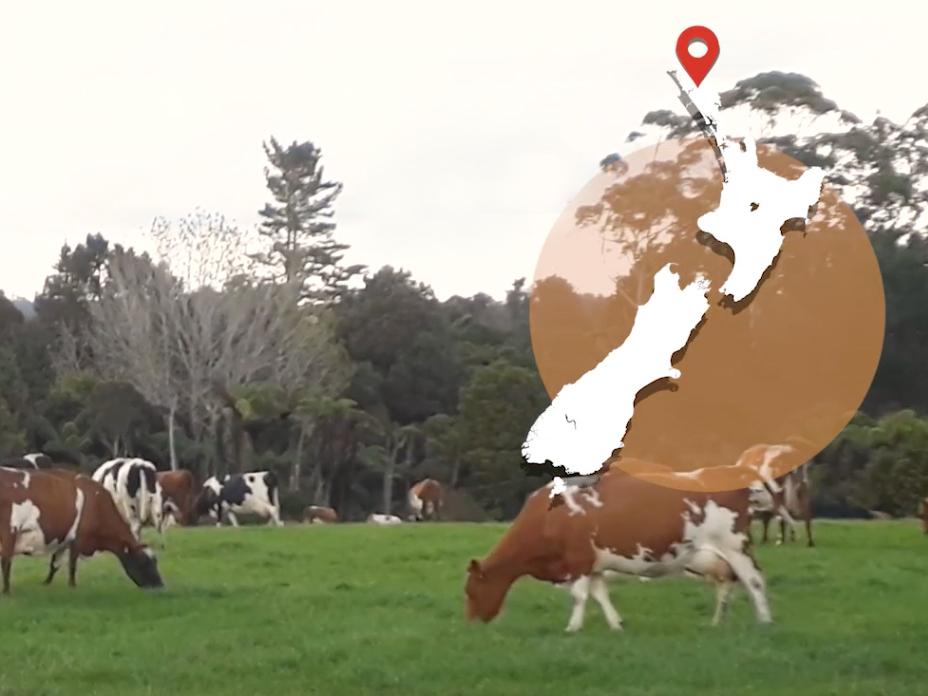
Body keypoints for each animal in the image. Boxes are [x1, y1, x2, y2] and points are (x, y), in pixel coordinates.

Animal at [0, 468, 163, 592]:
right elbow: (72, 565)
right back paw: (6, 591)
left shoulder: (64, 541)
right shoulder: (78, 540)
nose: (160, 585)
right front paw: (72, 586)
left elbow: (55, 565)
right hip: (10, 532)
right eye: (144, 562)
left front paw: (45, 583)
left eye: (155, 561)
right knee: (6, 561)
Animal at [464, 460, 776, 632]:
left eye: (470, 590)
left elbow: (579, 596)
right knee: (728, 586)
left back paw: (764, 622)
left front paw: (572, 627)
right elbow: (600, 595)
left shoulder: (578, 560)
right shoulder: (593, 564)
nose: (471, 622)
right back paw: (718, 623)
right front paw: (616, 625)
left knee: (754, 581)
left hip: (735, 546)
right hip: (715, 558)